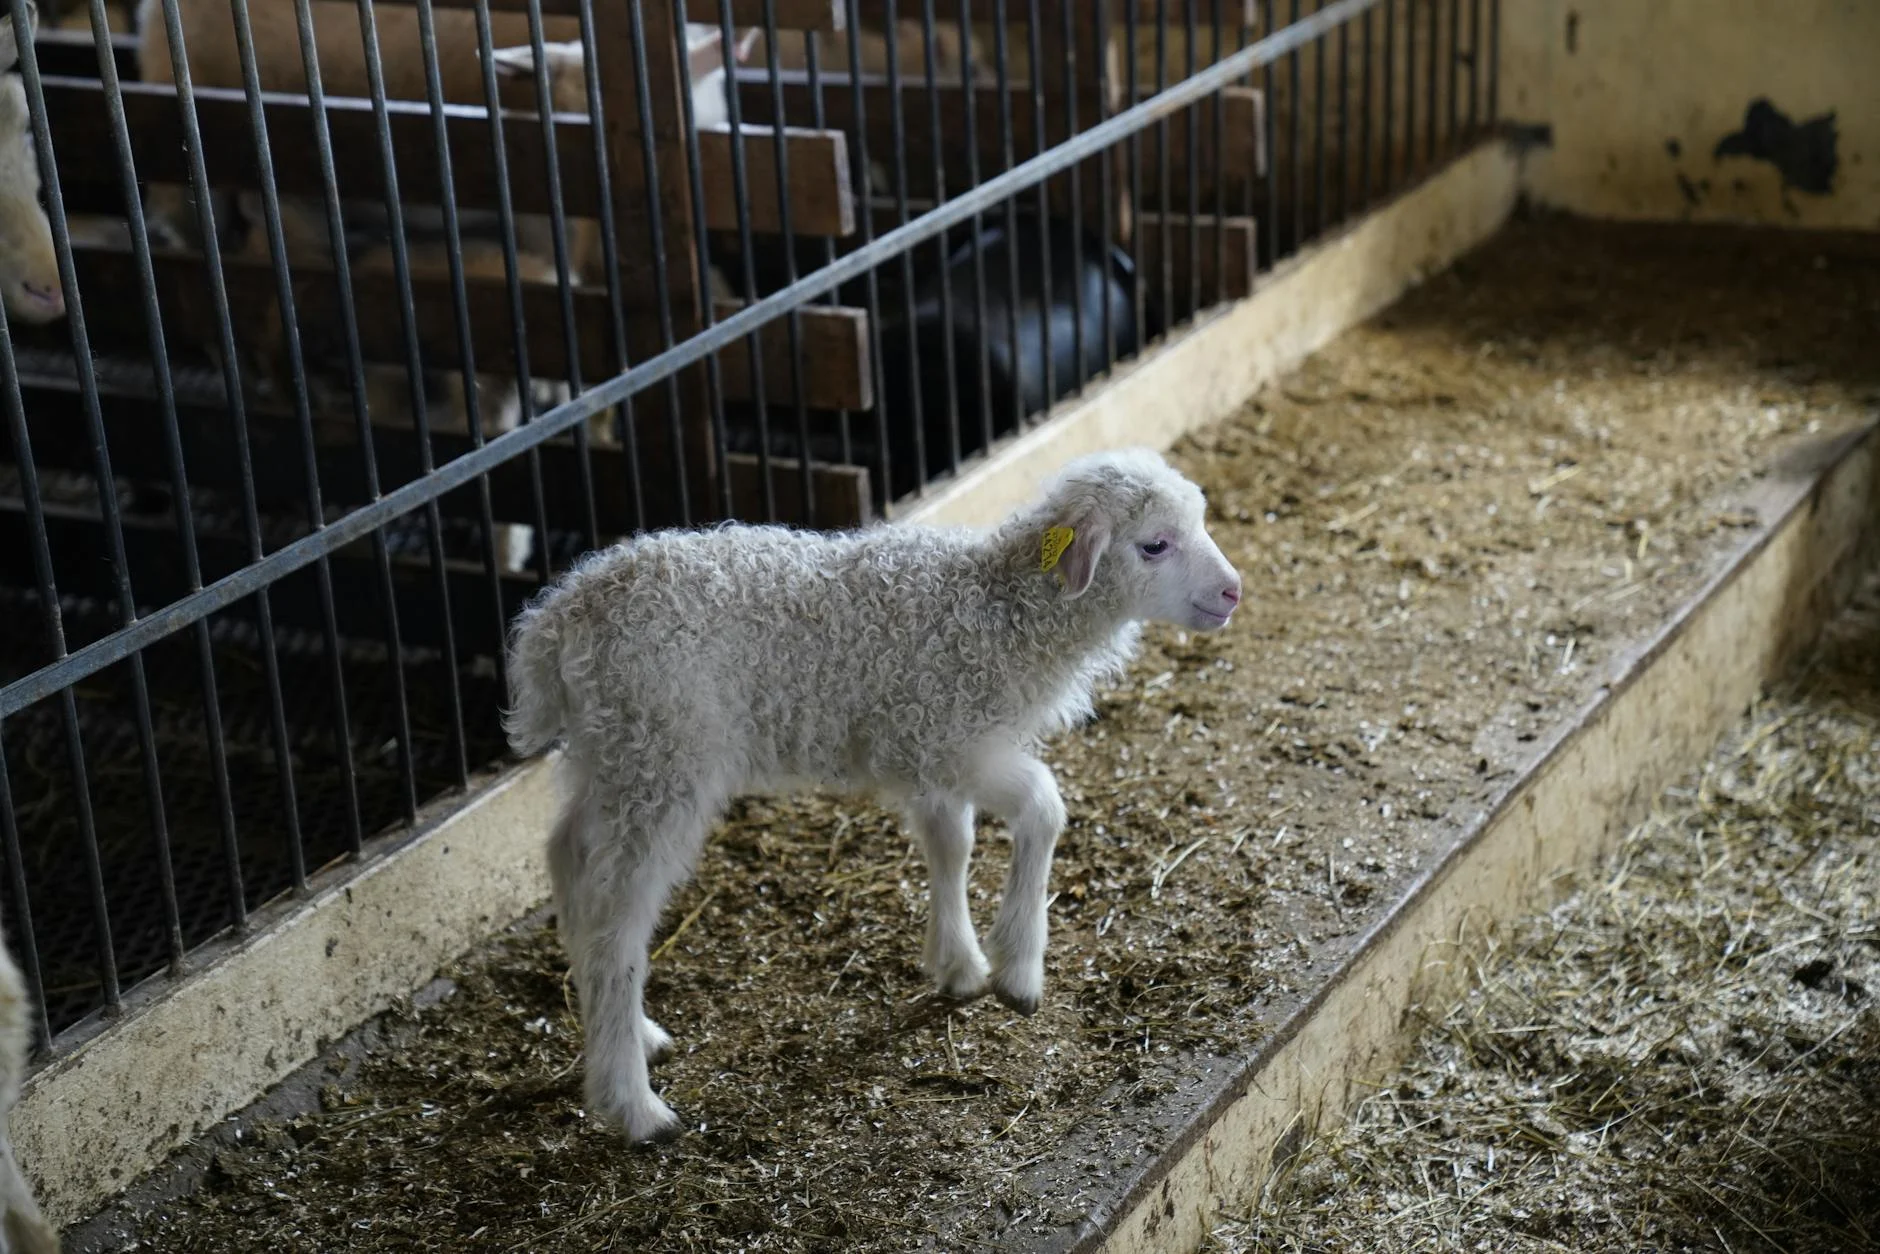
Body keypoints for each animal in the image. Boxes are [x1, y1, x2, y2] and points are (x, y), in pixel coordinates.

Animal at [503, 446, 1242, 1143]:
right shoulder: (956, 739)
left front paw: (959, 964)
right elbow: (1043, 805)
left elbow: (951, 846)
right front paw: (1018, 970)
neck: (1001, 612)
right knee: (616, 924)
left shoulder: (925, 746)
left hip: (611, 755)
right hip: (664, 759)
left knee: (569, 860)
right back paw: (634, 1105)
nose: (1233, 592)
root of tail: (557, 624)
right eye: (1155, 544)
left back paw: (634, 1033)